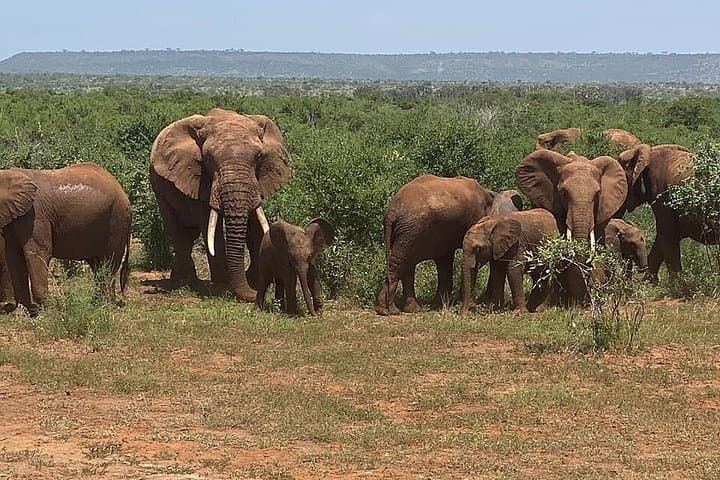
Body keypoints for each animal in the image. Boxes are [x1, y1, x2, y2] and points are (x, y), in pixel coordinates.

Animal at [0, 164, 131, 315]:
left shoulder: (35, 216)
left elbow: (37, 253)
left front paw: (44, 314)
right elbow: (13, 257)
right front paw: (21, 314)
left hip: (117, 220)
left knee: (109, 262)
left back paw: (106, 306)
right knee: (97, 264)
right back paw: (96, 304)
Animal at [149, 108, 291, 302]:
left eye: (259, 157)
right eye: (208, 159)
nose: (256, 295)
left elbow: (255, 225)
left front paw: (254, 283)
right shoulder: (201, 181)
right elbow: (212, 230)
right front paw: (222, 287)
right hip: (158, 189)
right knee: (178, 232)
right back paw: (184, 284)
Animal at [375, 174, 495, 316]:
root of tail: (391, 213)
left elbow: (444, 260)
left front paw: (439, 305)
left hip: (407, 232)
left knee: (405, 263)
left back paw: (404, 310)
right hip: (411, 231)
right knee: (400, 262)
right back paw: (390, 311)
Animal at [616, 143, 704, 282]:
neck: (650, 152)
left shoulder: (663, 196)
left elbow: (667, 235)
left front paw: (676, 285)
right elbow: (664, 238)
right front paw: (649, 282)